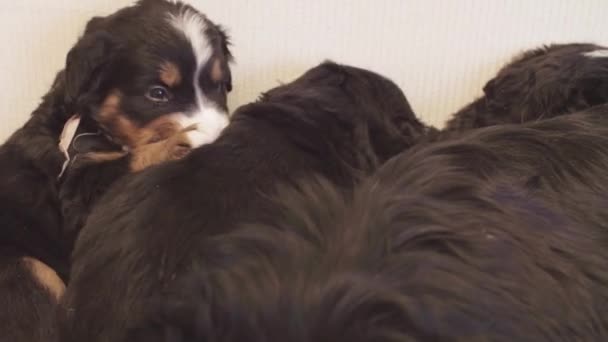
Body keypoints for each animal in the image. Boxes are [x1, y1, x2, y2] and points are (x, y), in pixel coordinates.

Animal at [0, 1, 233, 340]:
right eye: (158, 93)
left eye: (218, 86)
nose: (221, 134)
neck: (91, 124)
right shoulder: (82, 193)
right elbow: (134, 159)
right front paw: (186, 139)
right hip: (27, 267)